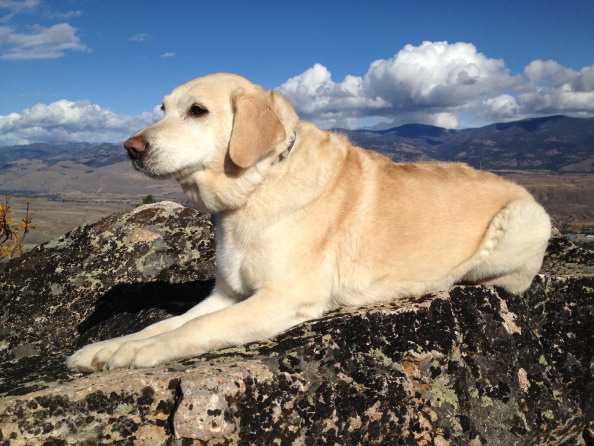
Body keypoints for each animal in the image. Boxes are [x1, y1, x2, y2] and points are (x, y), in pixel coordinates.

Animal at [66, 74, 552, 372]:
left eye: (198, 111)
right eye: (163, 108)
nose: (130, 147)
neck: (256, 188)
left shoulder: (286, 297)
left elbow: (195, 329)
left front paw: (136, 352)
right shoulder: (227, 294)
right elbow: (167, 323)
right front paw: (105, 347)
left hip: (522, 223)